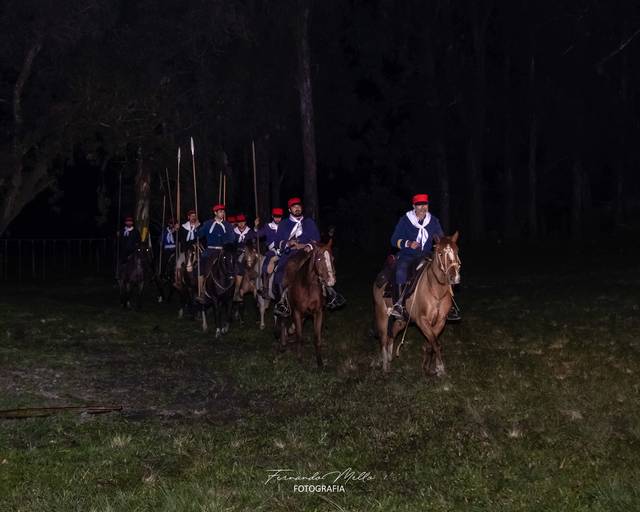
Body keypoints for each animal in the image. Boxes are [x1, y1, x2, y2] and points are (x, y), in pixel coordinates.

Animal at [373, 232, 461, 376]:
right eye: (440, 253)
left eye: (456, 251)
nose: (455, 278)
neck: (435, 290)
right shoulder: (422, 321)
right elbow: (436, 344)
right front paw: (440, 368)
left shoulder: (440, 321)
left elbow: (432, 343)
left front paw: (428, 367)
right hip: (381, 314)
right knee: (383, 339)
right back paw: (385, 365)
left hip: (402, 320)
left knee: (392, 334)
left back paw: (390, 358)